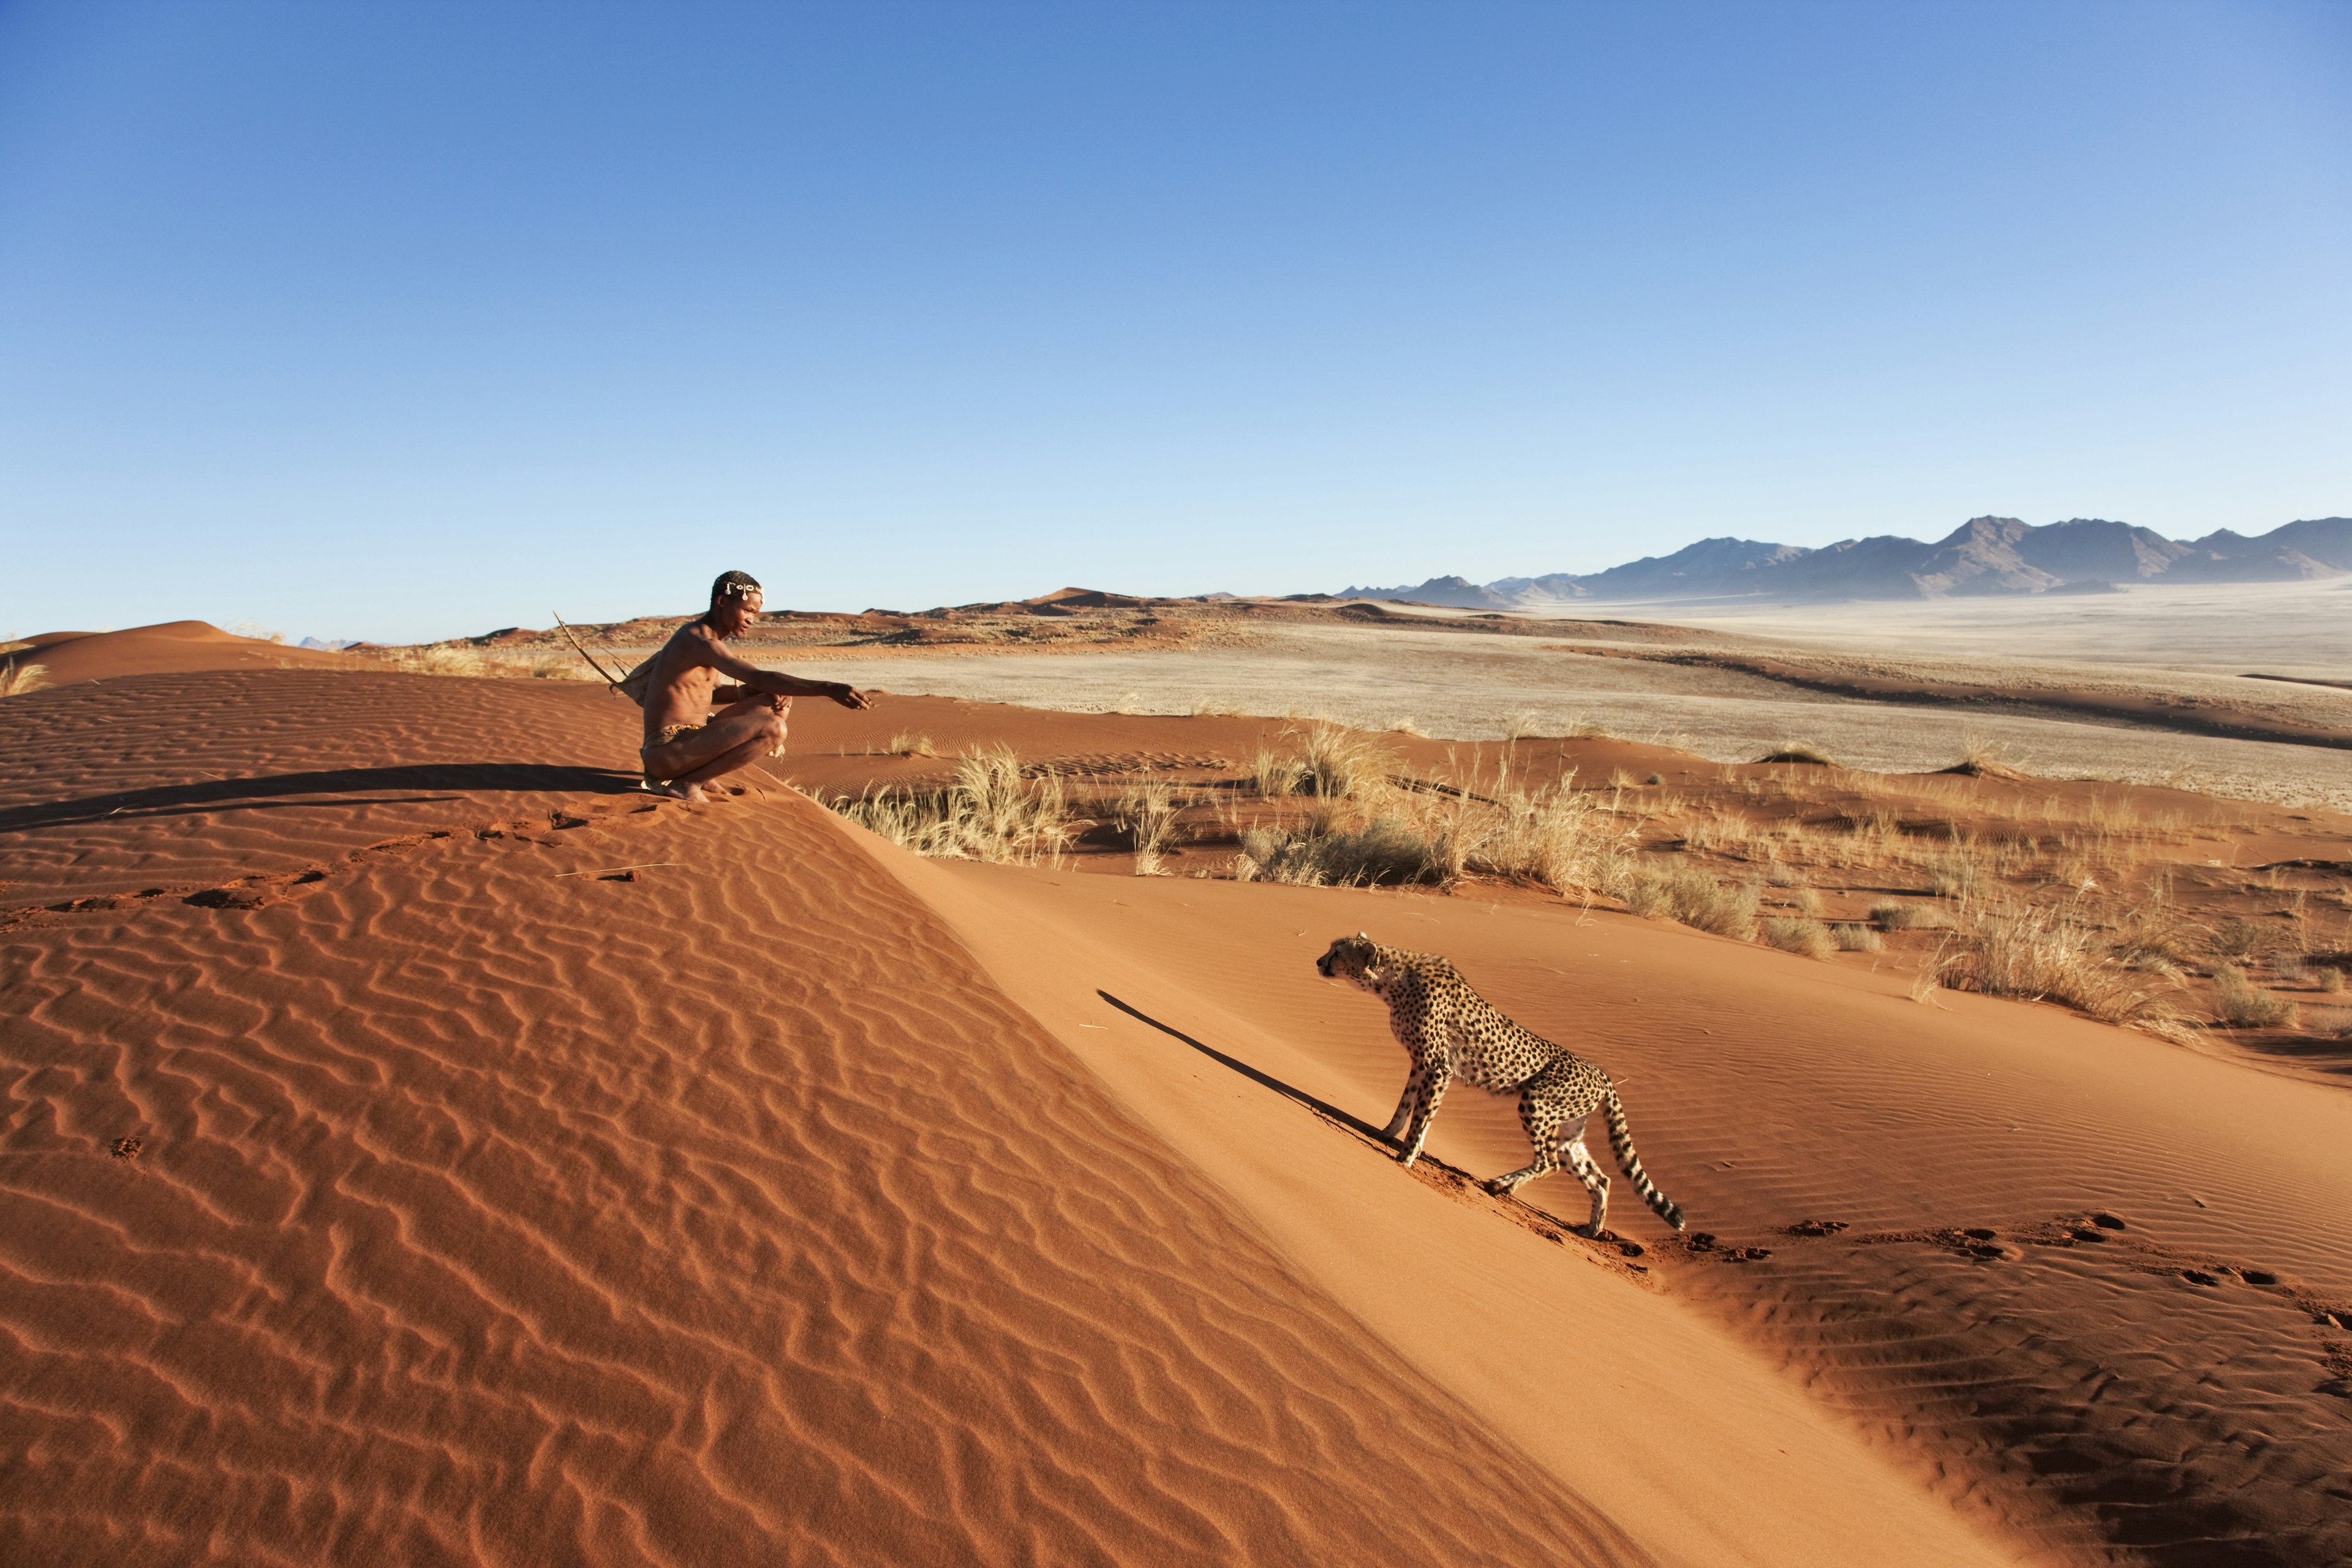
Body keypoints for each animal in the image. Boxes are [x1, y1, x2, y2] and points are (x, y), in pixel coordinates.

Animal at [1317, 930, 1684, 1241]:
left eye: (1338, 953)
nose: (1319, 962)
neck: (1394, 980)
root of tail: (1601, 1073)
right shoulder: (1422, 1065)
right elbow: (1406, 1106)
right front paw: (1385, 1134)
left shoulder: (1438, 1068)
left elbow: (1421, 1118)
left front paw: (1405, 1157)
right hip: (1569, 1131)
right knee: (1599, 1177)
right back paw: (1592, 1229)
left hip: (1537, 1103)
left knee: (1548, 1162)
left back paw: (1501, 1184)